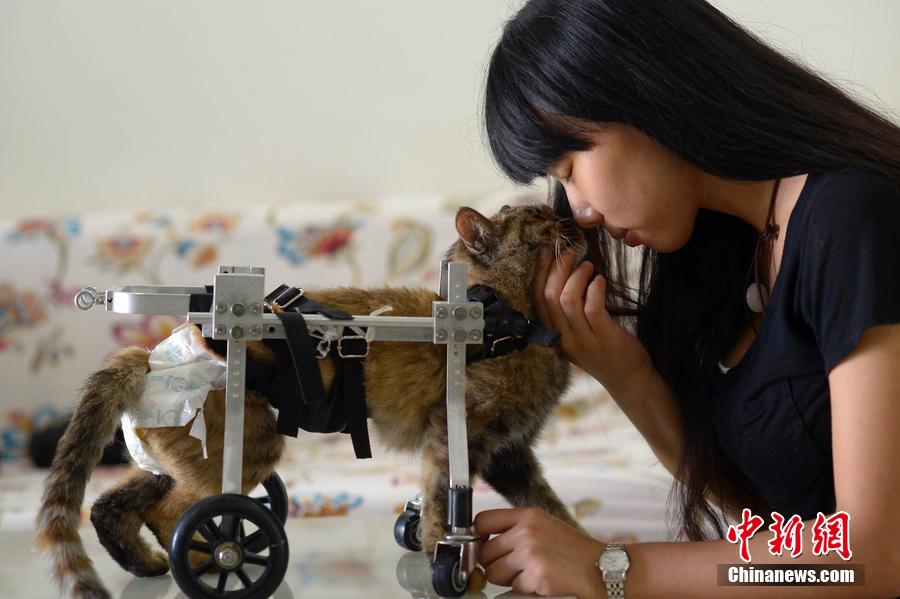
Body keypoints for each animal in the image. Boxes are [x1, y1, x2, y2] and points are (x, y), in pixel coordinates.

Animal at [35, 204, 588, 596]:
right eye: (536, 216)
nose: (567, 214)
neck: (499, 316)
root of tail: (150, 356)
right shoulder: (458, 434)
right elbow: (443, 501)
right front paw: (448, 561)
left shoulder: (510, 453)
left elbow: (548, 505)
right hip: (247, 445)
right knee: (180, 518)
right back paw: (216, 562)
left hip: (181, 458)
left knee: (111, 505)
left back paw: (152, 565)